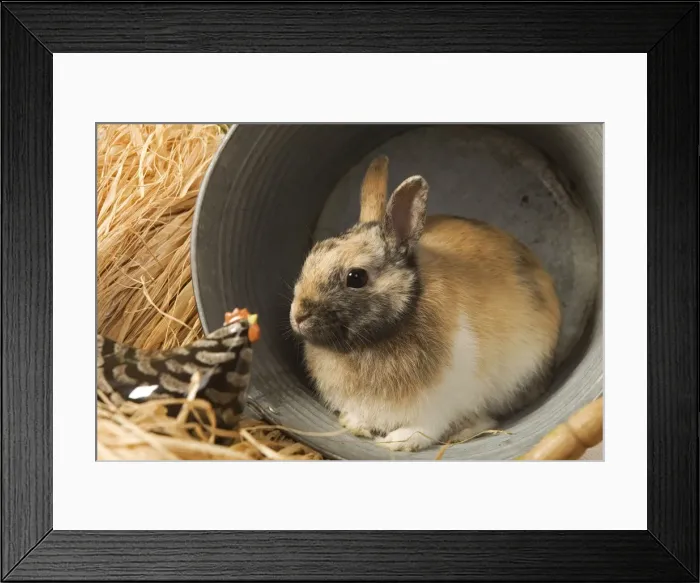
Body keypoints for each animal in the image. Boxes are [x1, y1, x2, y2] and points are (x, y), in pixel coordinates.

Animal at [289, 155, 561, 452]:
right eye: (313, 254)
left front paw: (397, 442)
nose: (298, 316)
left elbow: (426, 427)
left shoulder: (441, 402)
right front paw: (355, 425)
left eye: (356, 277)